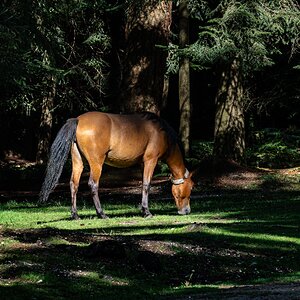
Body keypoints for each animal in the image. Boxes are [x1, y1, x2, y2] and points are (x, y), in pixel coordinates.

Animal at [39, 111, 195, 219]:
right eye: (191, 187)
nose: (186, 211)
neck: (161, 132)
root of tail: (78, 119)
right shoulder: (151, 160)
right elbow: (147, 184)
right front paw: (146, 211)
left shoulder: (142, 164)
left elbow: (142, 185)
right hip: (96, 163)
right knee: (93, 184)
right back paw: (101, 213)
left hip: (78, 162)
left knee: (74, 184)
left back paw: (75, 214)